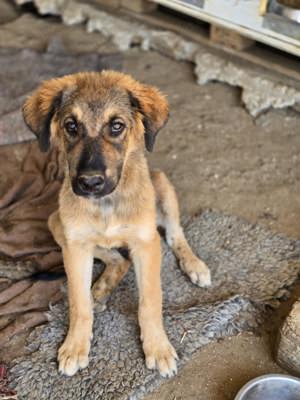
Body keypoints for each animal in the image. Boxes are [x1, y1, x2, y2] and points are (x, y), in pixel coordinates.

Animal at [23, 72, 211, 378]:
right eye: (71, 126)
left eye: (116, 126)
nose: (89, 182)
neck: (106, 204)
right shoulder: (75, 246)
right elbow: (78, 303)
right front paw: (75, 345)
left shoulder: (146, 244)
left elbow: (150, 301)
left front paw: (157, 348)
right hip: (55, 222)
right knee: (118, 260)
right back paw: (99, 290)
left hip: (162, 184)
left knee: (174, 235)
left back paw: (194, 265)